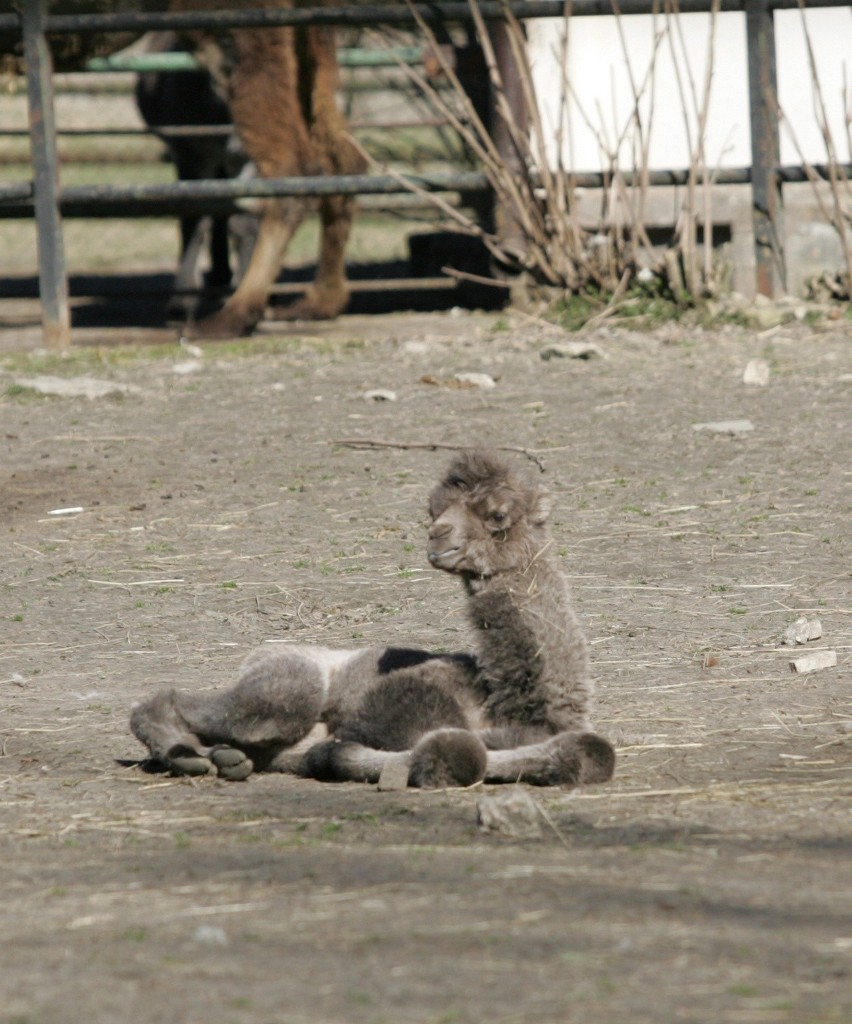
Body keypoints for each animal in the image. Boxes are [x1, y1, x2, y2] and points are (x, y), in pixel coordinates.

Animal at [128, 446, 614, 782]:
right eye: (433, 511)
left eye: (497, 515)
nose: (438, 537)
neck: (505, 698)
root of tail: (258, 655)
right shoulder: (399, 710)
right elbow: (455, 749)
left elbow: (594, 751)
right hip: (288, 686)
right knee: (172, 702)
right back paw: (188, 758)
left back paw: (223, 759)